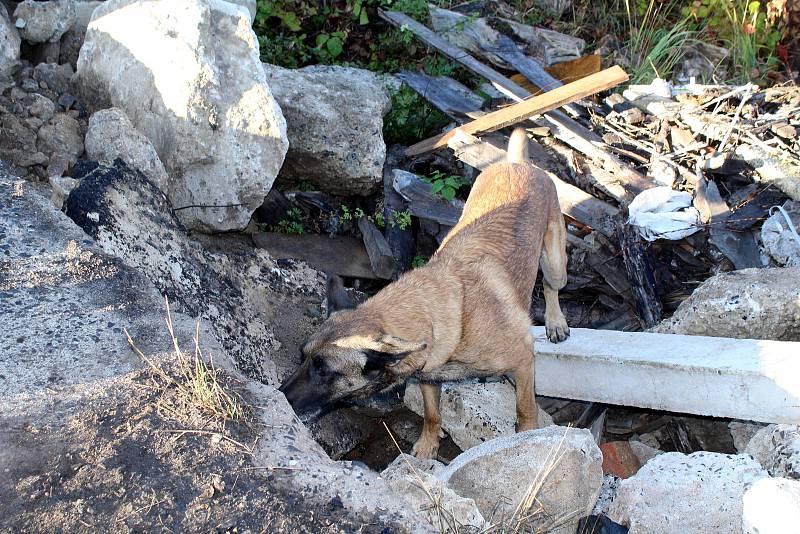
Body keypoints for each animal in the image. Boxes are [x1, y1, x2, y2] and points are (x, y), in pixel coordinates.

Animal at [280, 129, 568, 460]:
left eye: (325, 371)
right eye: (302, 356)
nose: (280, 396)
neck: (445, 315)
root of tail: (517, 162)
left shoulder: (522, 361)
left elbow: (525, 408)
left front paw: (530, 436)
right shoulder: (428, 375)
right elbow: (432, 413)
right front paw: (428, 444)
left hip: (555, 262)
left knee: (551, 286)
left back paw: (555, 321)